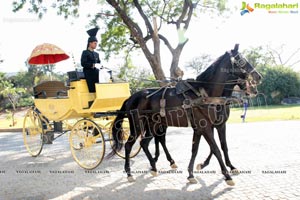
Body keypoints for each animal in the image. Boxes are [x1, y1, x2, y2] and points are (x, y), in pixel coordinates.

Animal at [109, 44, 262, 185]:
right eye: (241, 60)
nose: (258, 77)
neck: (204, 94)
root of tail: (132, 97)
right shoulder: (206, 127)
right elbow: (216, 149)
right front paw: (227, 175)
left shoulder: (211, 127)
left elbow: (206, 148)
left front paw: (192, 173)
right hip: (137, 126)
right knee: (129, 145)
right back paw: (130, 173)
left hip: (153, 125)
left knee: (146, 142)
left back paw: (154, 166)